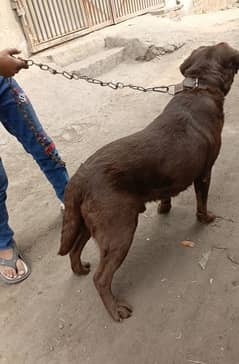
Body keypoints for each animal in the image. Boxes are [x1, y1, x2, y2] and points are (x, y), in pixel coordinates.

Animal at [58, 43, 239, 322]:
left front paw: (164, 207)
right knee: (101, 278)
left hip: (87, 223)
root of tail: (79, 177)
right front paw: (206, 218)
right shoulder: (205, 172)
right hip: (119, 231)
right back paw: (115, 309)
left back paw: (79, 269)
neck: (199, 87)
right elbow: (202, 201)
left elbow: (166, 194)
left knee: (75, 249)